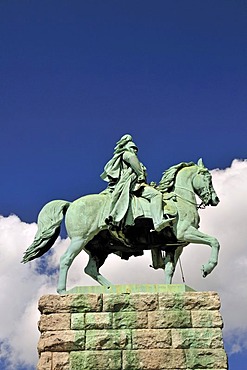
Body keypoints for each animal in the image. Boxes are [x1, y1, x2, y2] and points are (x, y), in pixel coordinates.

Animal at [22, 158, 220, 294]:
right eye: (208, 177)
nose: (215, 199)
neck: (179, 201)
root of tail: (70, 204)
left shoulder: (176, 245)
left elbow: (169, 269)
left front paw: (168, 289)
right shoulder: (185, 233)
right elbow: (214, 241)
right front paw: (207, 268)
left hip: (98, 249)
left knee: (90, 269)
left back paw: (112, 288)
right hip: (80, 239)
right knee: (66, 259)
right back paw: (63, 291)